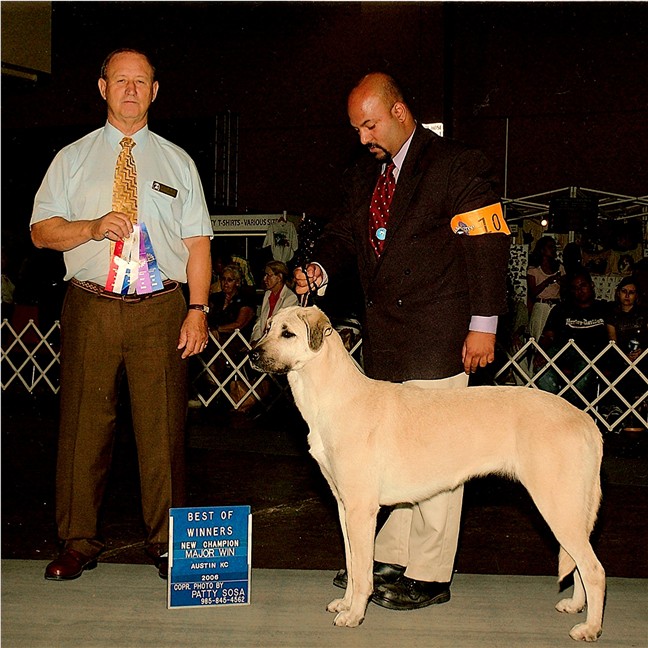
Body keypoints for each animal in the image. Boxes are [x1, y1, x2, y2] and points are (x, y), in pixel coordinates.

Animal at [249, 306, 608, 640]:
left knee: (594, 569)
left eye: (288, 333)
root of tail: (585, 419)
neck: (333, 394)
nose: (252, 354)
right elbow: (352, 563)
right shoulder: (344, 506)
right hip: (570, 511)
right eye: (267, 328)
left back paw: (590, 628)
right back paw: (575, 605)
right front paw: (346, 604)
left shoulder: (361, 510)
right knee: (580, 563)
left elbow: (363, 571)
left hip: (557, 506)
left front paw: (354, 615)